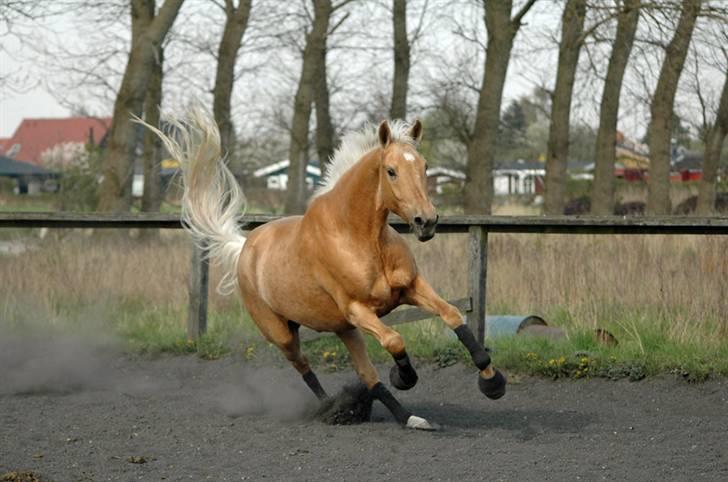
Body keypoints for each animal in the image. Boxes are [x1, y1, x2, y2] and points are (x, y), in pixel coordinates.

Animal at [148, 108, 506, 430]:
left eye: (424, 166)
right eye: (391, 171)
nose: (426, 222)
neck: (358, 236)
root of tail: (244, 247)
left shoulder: (411, 288)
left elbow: (453, 316)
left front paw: (492, 382)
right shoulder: (358, 310)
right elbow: (394, 340)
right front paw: (404, 376)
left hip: (344, 330)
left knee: (368, 376)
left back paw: (409, 418)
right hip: (285, 335)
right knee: (306, 367)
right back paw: (331, 408)